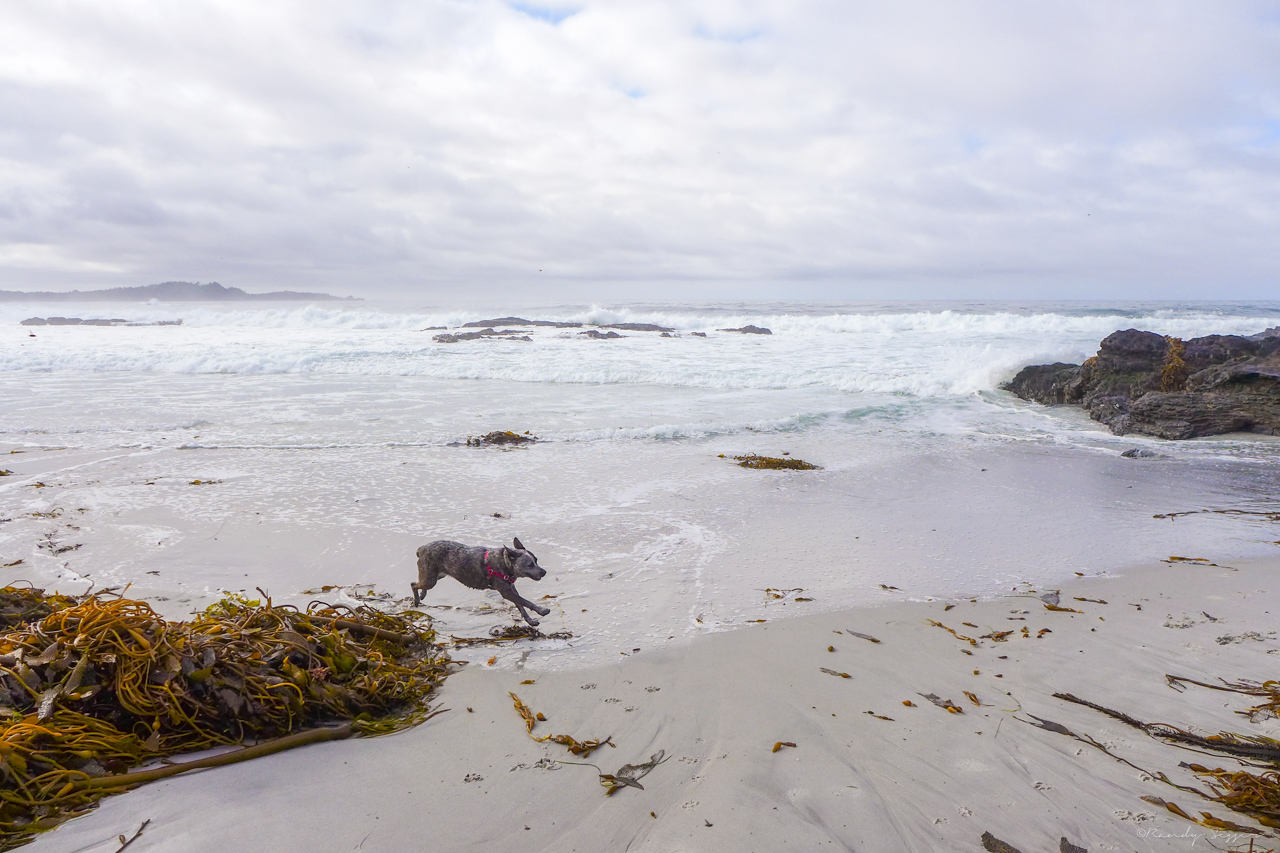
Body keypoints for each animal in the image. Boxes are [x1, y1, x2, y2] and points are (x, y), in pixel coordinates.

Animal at [409, 537, 550, 625]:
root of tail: (421, 549)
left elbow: (521, 606)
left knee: (420, 583)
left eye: (536, 560)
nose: (544, 572)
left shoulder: (511, 589)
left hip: (436, 575)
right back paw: (416, 599)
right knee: (413, 584)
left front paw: (530, 621)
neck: (504, 563)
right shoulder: (507, 592)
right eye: (530, 565)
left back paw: (422, 594)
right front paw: (542, 610)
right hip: (430, 578)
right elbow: (526, 602)